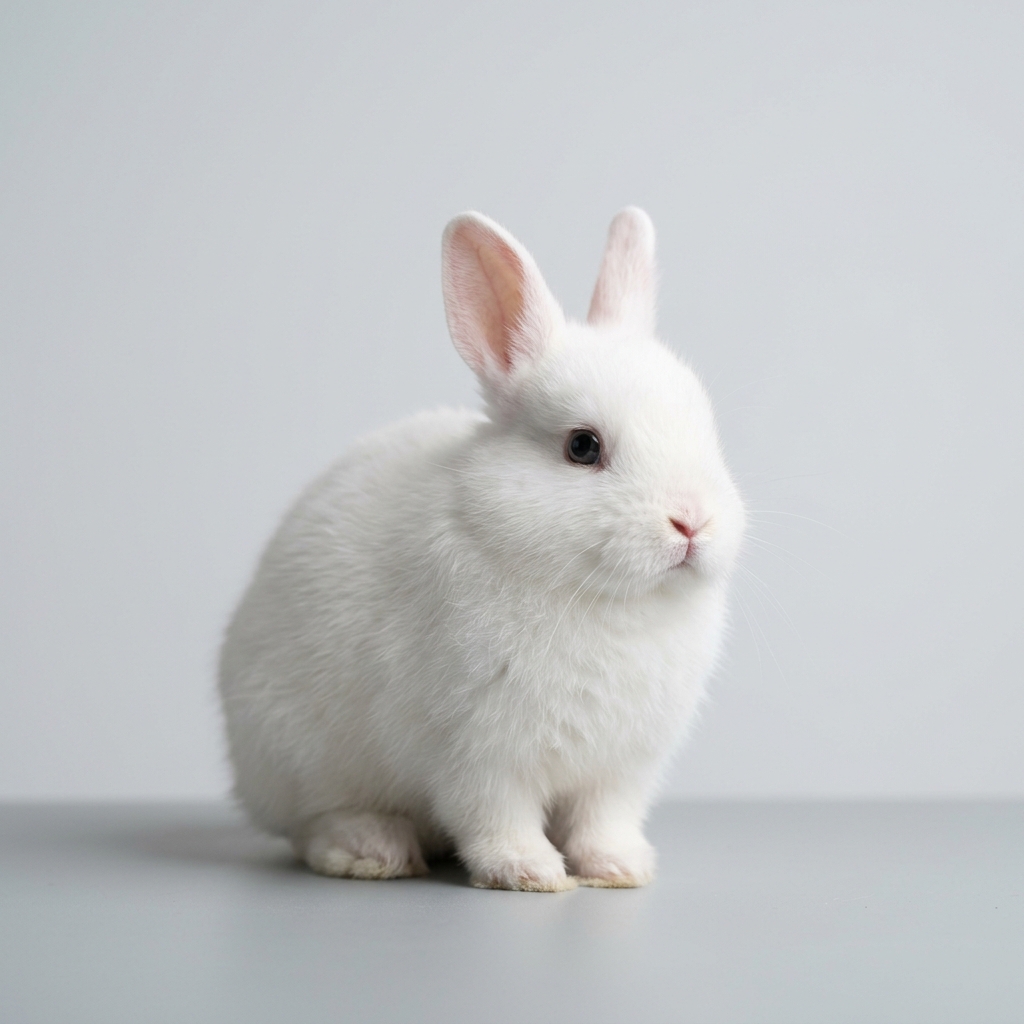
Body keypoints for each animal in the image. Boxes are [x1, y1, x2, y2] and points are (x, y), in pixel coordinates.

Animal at [218, 207, 746, 891]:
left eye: (705, 430)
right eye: (582, 446)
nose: (692, 523)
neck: (611, 603)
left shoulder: (620, 769)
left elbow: (603, 822)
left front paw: (619, 869)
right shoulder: (477, 753)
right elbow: (497, 818)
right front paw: (531, 874)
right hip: (296, 756)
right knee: (314, 825)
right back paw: (372, 850)